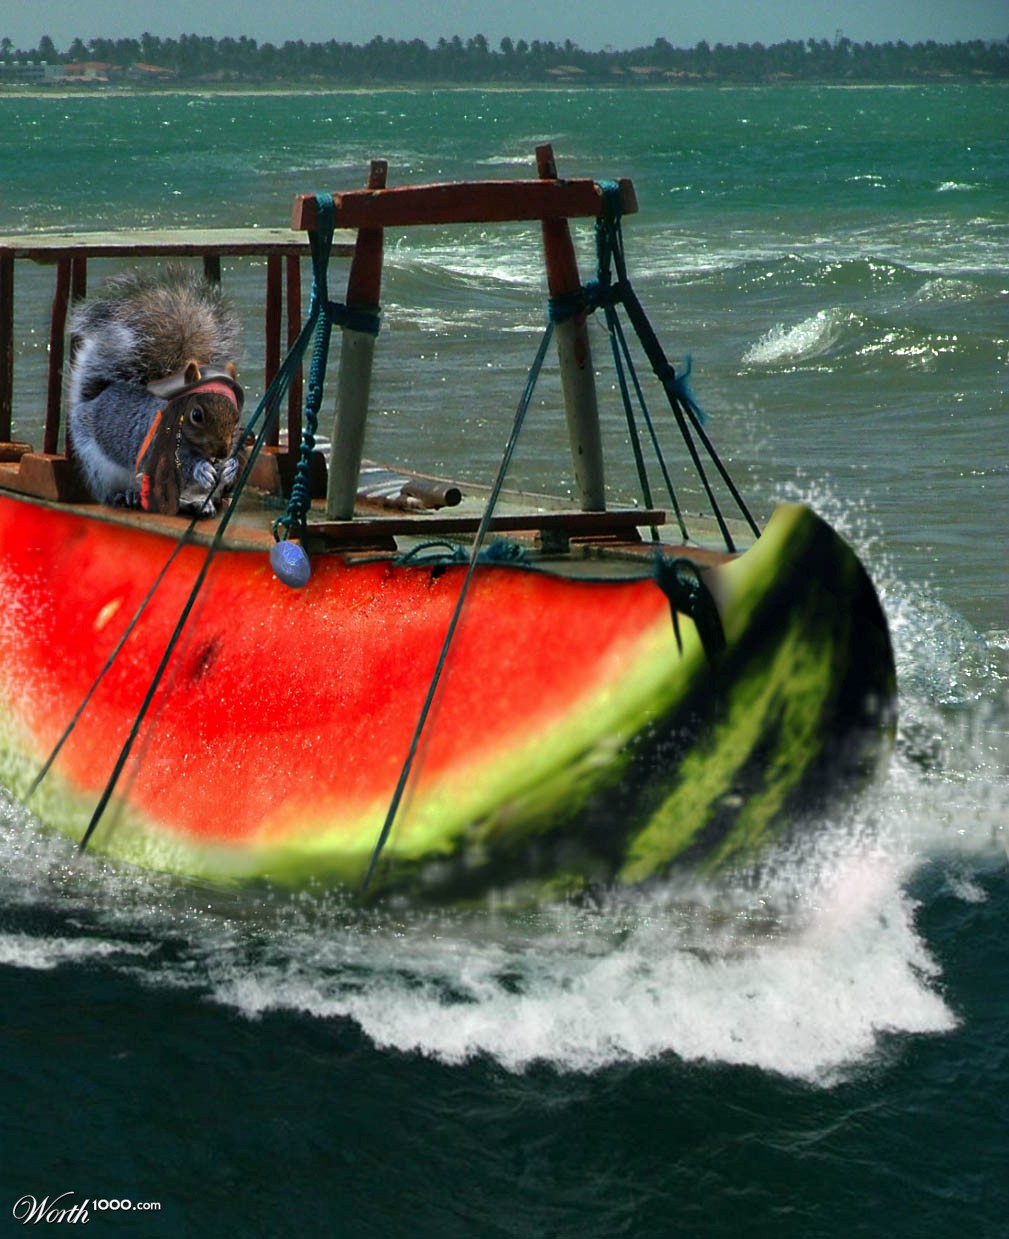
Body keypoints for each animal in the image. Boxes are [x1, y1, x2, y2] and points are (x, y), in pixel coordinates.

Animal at [67, 266, 246, 516]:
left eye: (237, 416)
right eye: (196, 415)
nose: (220, 453)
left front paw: (230, 466)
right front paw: (200, 469)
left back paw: (201, 504)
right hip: (98, 466)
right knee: (112, 492)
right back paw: (128, 495)